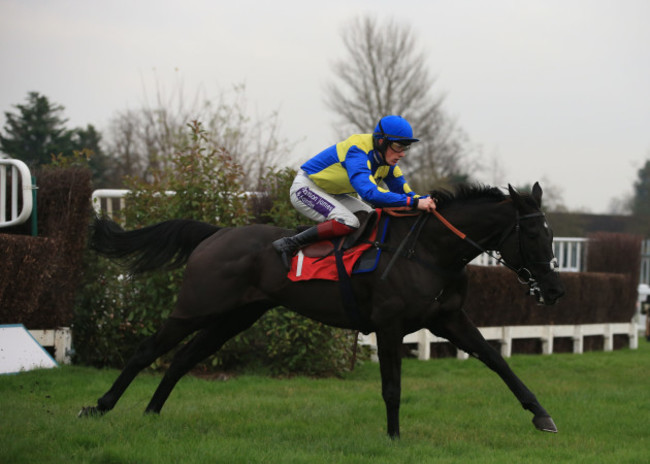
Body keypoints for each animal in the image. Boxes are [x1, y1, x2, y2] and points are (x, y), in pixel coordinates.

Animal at [78, 182, 565, 438]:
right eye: (533, 235)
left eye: (551, 233)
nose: (555, 290)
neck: (428, 251)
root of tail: (214, 234)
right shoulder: (388, 326)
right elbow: (392, 387)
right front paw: (394, 436)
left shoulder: (448, 320)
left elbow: (498, 360)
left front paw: (540, 413)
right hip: (196, 306)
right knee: (147, 351)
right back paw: (99, 407)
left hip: (235, 316)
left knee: (183, 358)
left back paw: (152, 413)